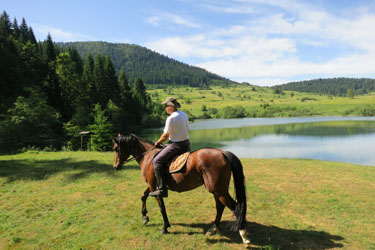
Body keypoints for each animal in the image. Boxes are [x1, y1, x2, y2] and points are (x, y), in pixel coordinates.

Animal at [113, 134, 251, 243]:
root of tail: (222, 153)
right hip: (217, 190)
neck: (147, 156)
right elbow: (143, 196)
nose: (115, 166)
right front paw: (144, 217)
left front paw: (165, 227)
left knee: (235, 207)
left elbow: (161, 207)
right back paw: (213, 229)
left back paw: (244, 235)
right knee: (220, 206)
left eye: (116, 149)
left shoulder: (154, 186)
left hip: (219, 190)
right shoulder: (152, 186)